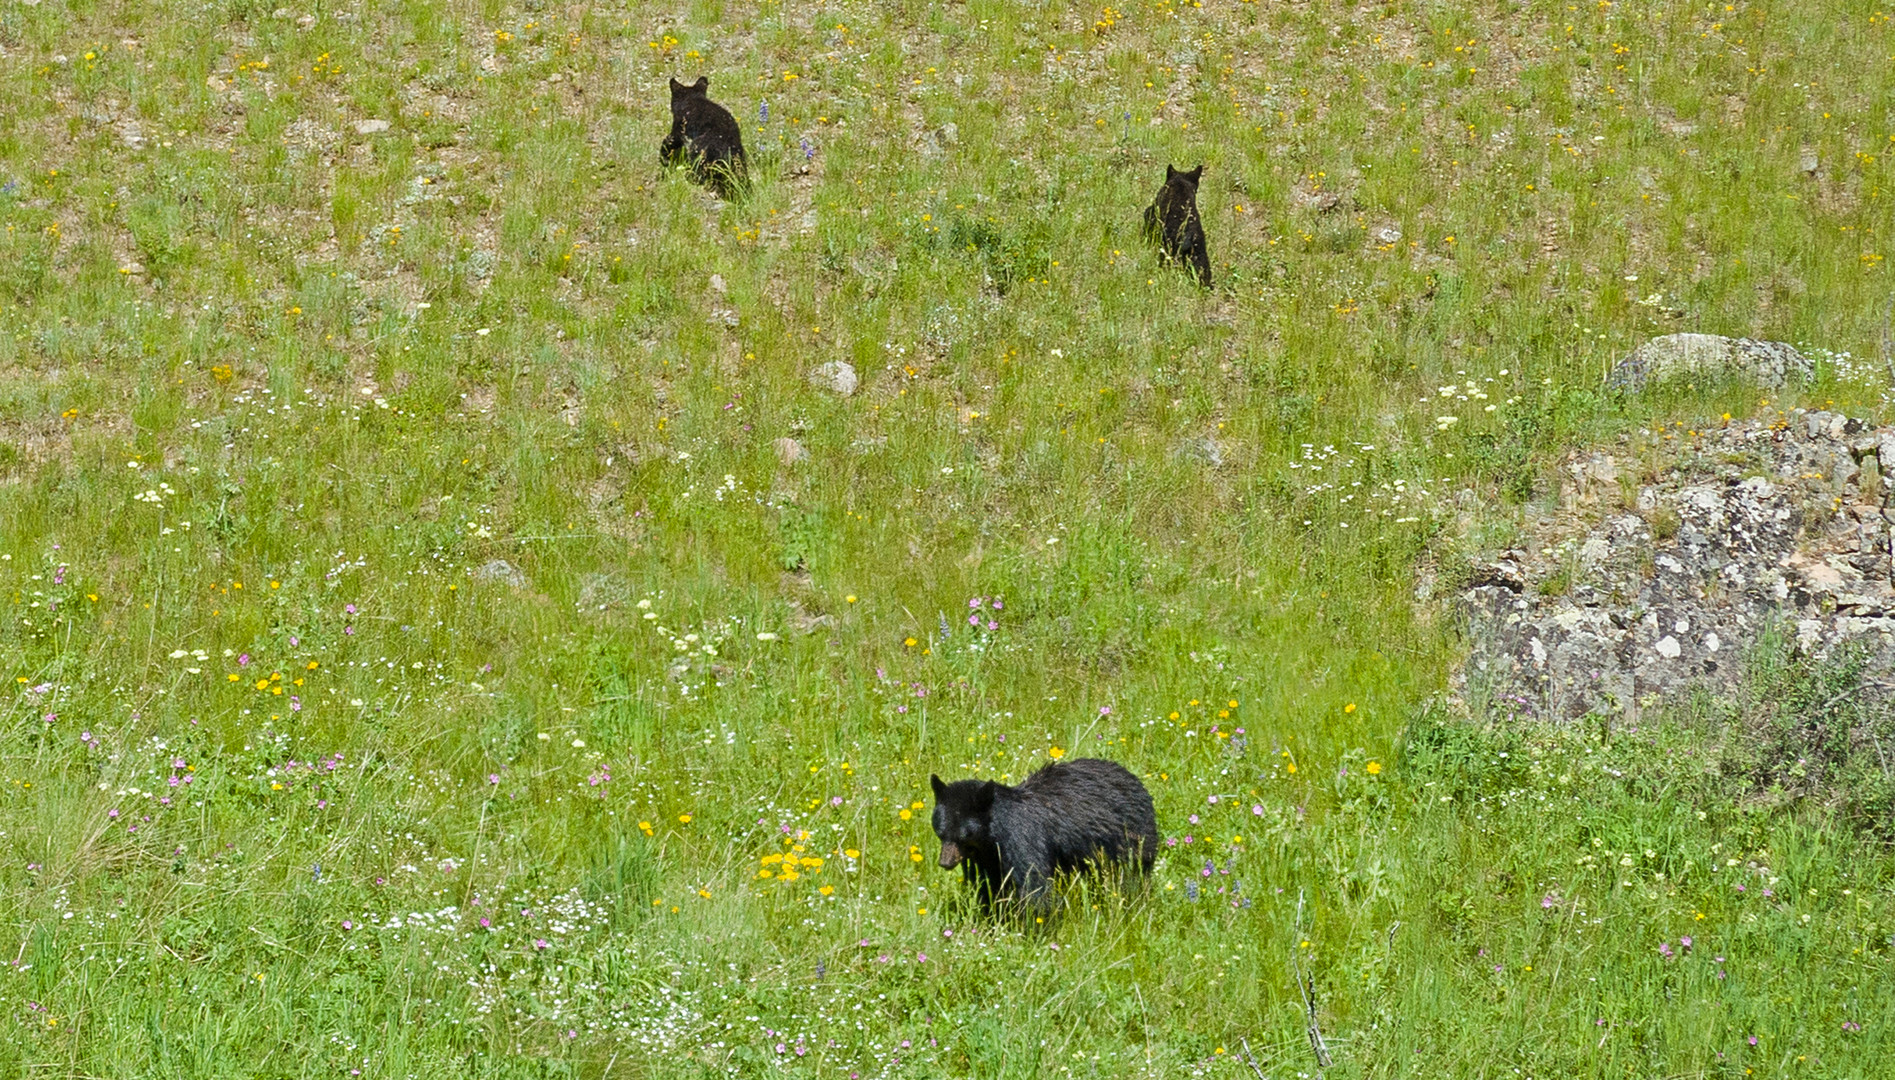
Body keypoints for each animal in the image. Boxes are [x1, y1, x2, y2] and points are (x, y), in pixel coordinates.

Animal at [928, 754, 1152, 913]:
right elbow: (988, 886)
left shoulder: (1023, 838)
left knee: (1132, 876)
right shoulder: (986, 857)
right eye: (940, 833)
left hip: (1130, 839)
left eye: (963, 836)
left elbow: (1034, 885)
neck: (993, 836)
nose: (945, 862)